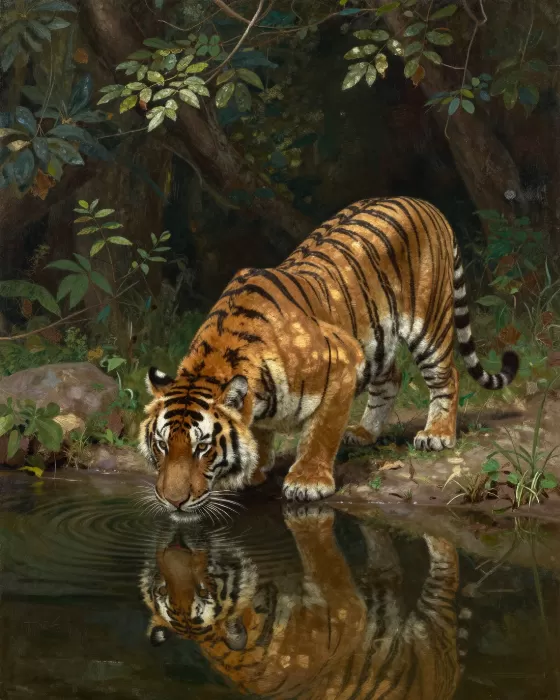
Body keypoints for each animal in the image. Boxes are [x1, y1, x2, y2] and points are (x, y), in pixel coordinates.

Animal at [139, 196, 518, 517]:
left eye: (202, 447)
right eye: (161, 445)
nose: (173, 501)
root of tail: (426, 203)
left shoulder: (342, 362)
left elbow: (320, 433)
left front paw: (308, 482)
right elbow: (259, 433)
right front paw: (254, 469)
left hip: (430, 323)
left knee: (446, 376)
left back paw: (436, 434)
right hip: (378, 339)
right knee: (392, 377)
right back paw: (364, 432)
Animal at [140, 505, 470, 699]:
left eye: (202, 588)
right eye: (164, 589)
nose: (175, 550)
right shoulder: (344, 603)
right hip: (432, 632)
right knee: (439, 565)